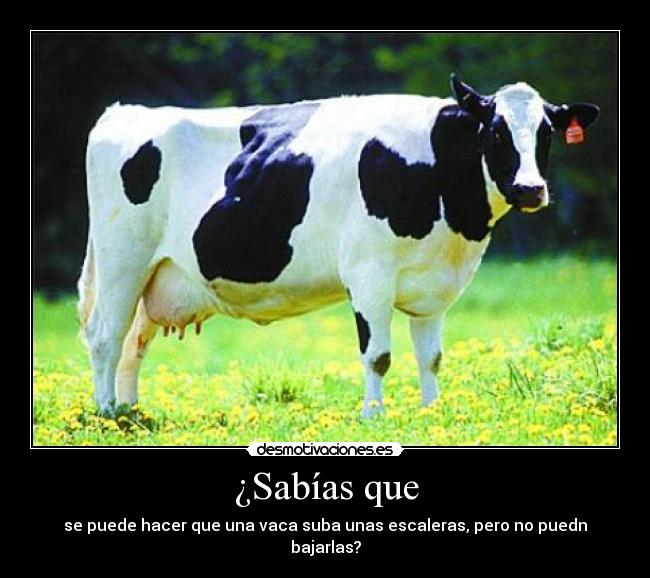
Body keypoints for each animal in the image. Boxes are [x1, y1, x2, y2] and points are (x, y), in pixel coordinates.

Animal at [78, 74, 599, 417]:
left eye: (547, 133)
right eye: (495, 131)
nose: (531, 189)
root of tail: (124, 111)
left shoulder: (434, 286)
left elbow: (431, 356)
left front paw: (432, 413)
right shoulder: (369, 275)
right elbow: (379, 356)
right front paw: (373, 417)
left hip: (156, 274)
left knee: (133, 341)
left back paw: (131, 413)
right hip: (122, 260)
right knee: (105, 336)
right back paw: (106, 414)